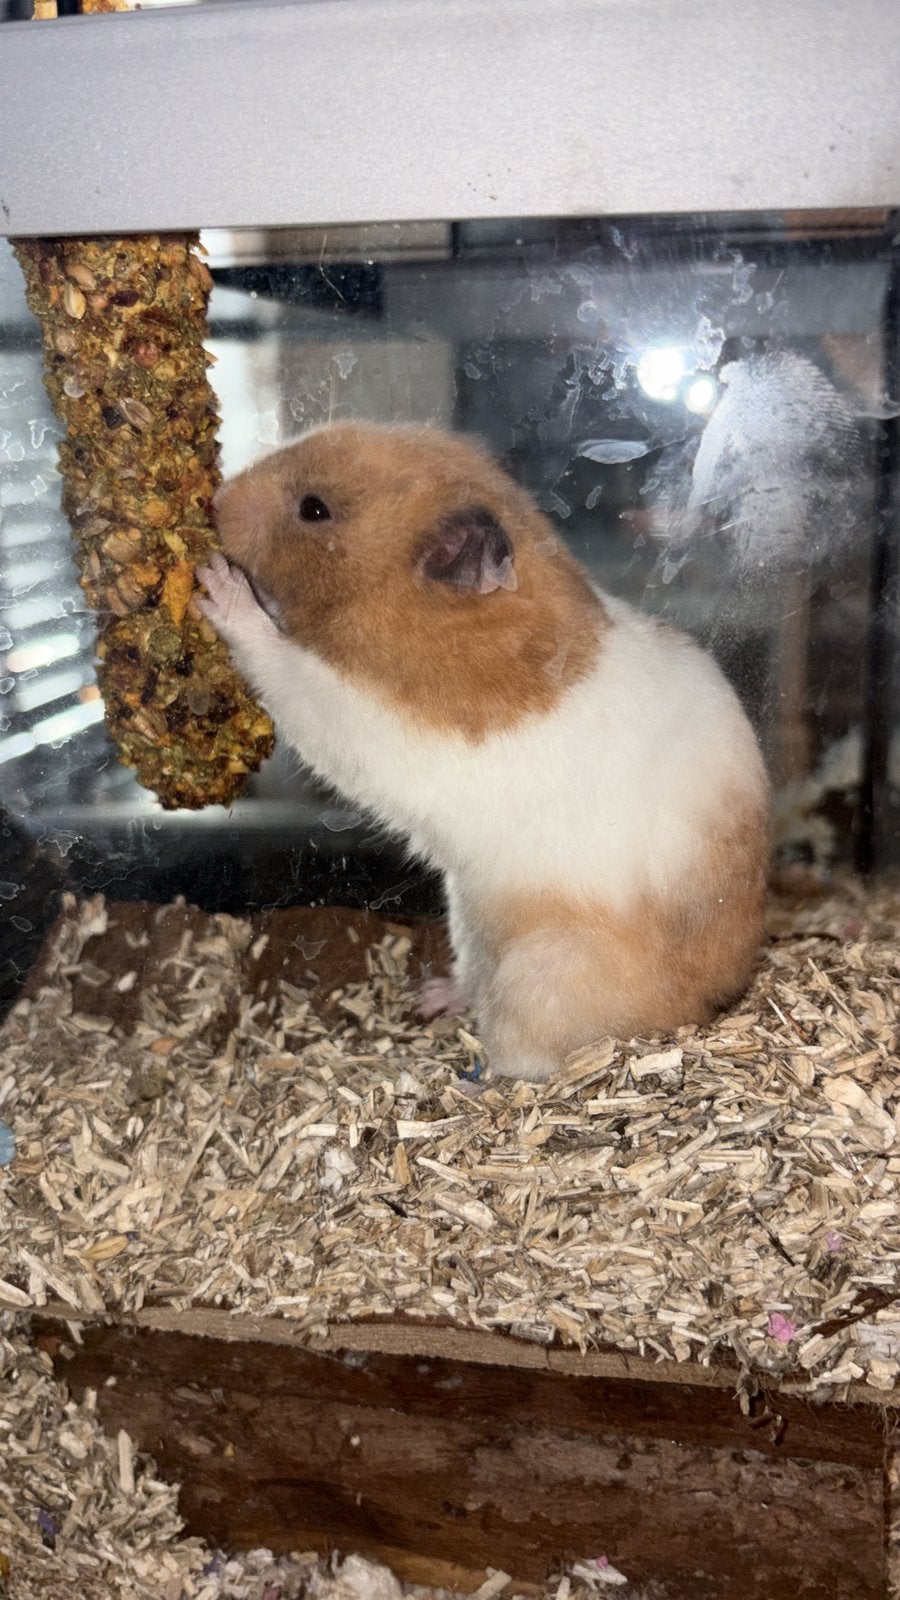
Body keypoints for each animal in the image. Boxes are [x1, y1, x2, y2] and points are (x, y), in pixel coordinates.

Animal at [199, 422, 770, 1083]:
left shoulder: (363, 720)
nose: (214, 501)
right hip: (467, 914)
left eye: (314, 510)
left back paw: (477, 1080)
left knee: (527, 1057)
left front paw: (217, 584)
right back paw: (434, 998)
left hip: (539, 971)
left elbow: (285, 668)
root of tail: (704, 1008)